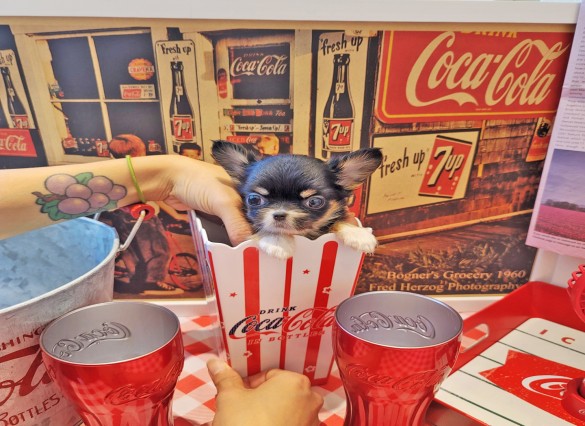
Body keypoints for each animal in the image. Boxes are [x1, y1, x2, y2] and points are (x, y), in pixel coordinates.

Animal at [211, 140, 383, 260]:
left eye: (314, 202)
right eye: (254, 199)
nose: (279, 214)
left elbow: (338, 220)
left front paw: (357, 233)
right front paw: (277, 242)